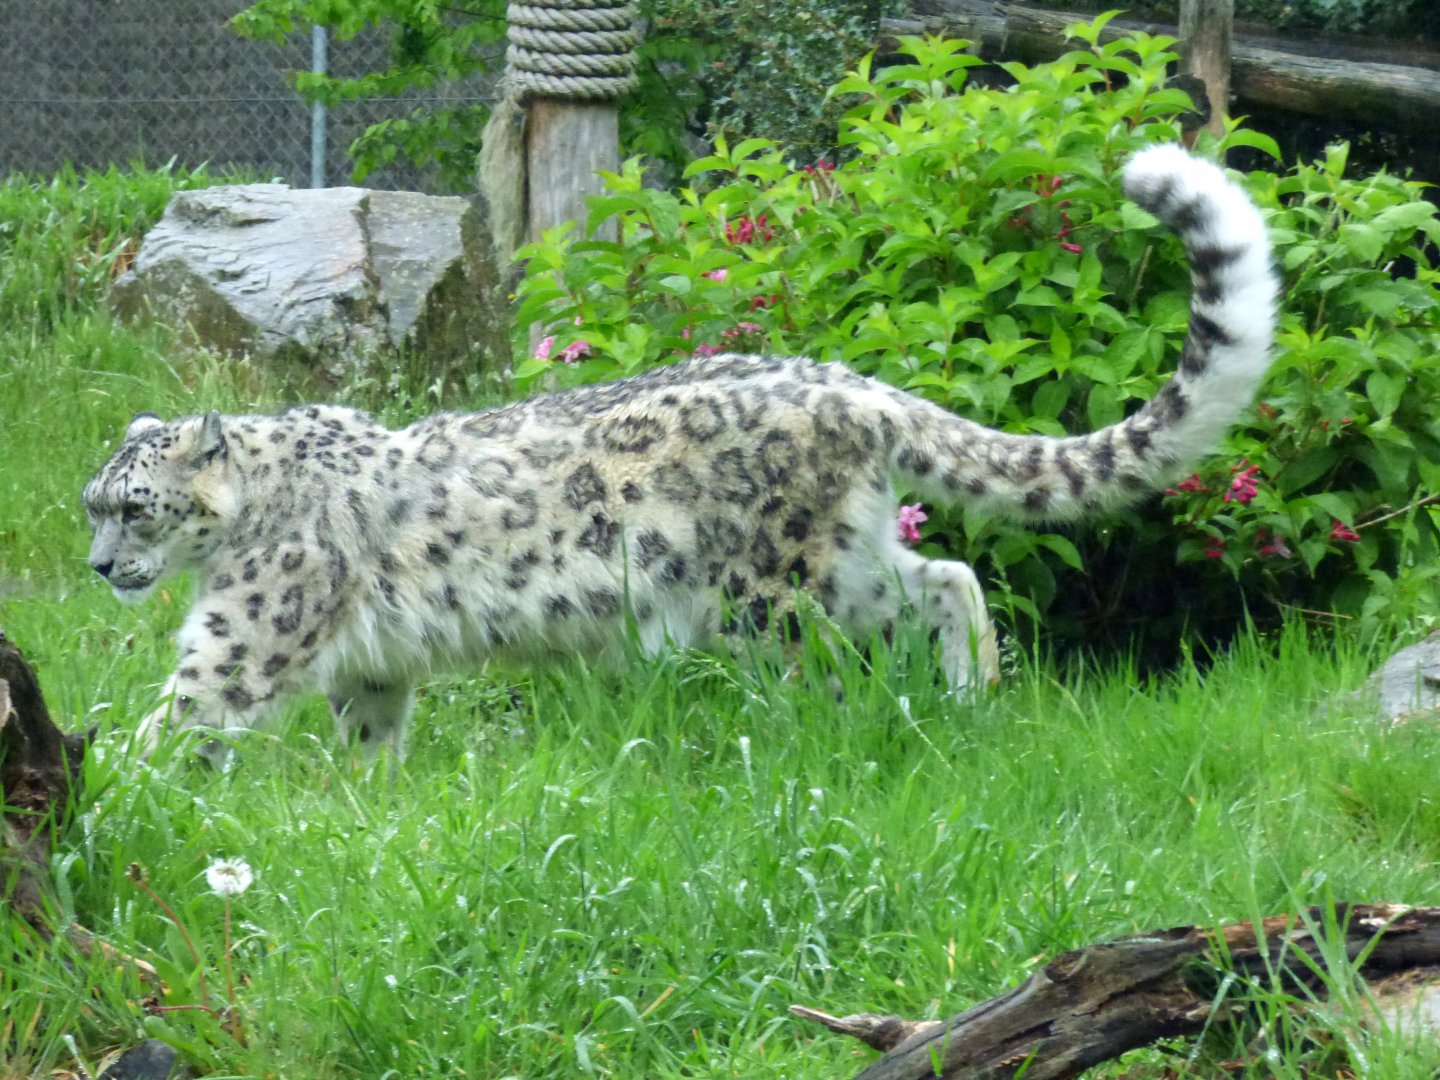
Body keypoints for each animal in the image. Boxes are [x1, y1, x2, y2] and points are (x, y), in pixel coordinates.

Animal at [83, 144, 1276, 762]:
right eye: (92, 505)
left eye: (134, 508)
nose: (98, 568)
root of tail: (847, 383)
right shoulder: (372, 669)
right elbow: (371, 735)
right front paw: (370, 800)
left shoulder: (242, 639)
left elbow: (180, 714)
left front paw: (122, 797)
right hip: (844, 565)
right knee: (946, 573)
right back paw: (974, 696)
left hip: (771, 598)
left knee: (840, 657)